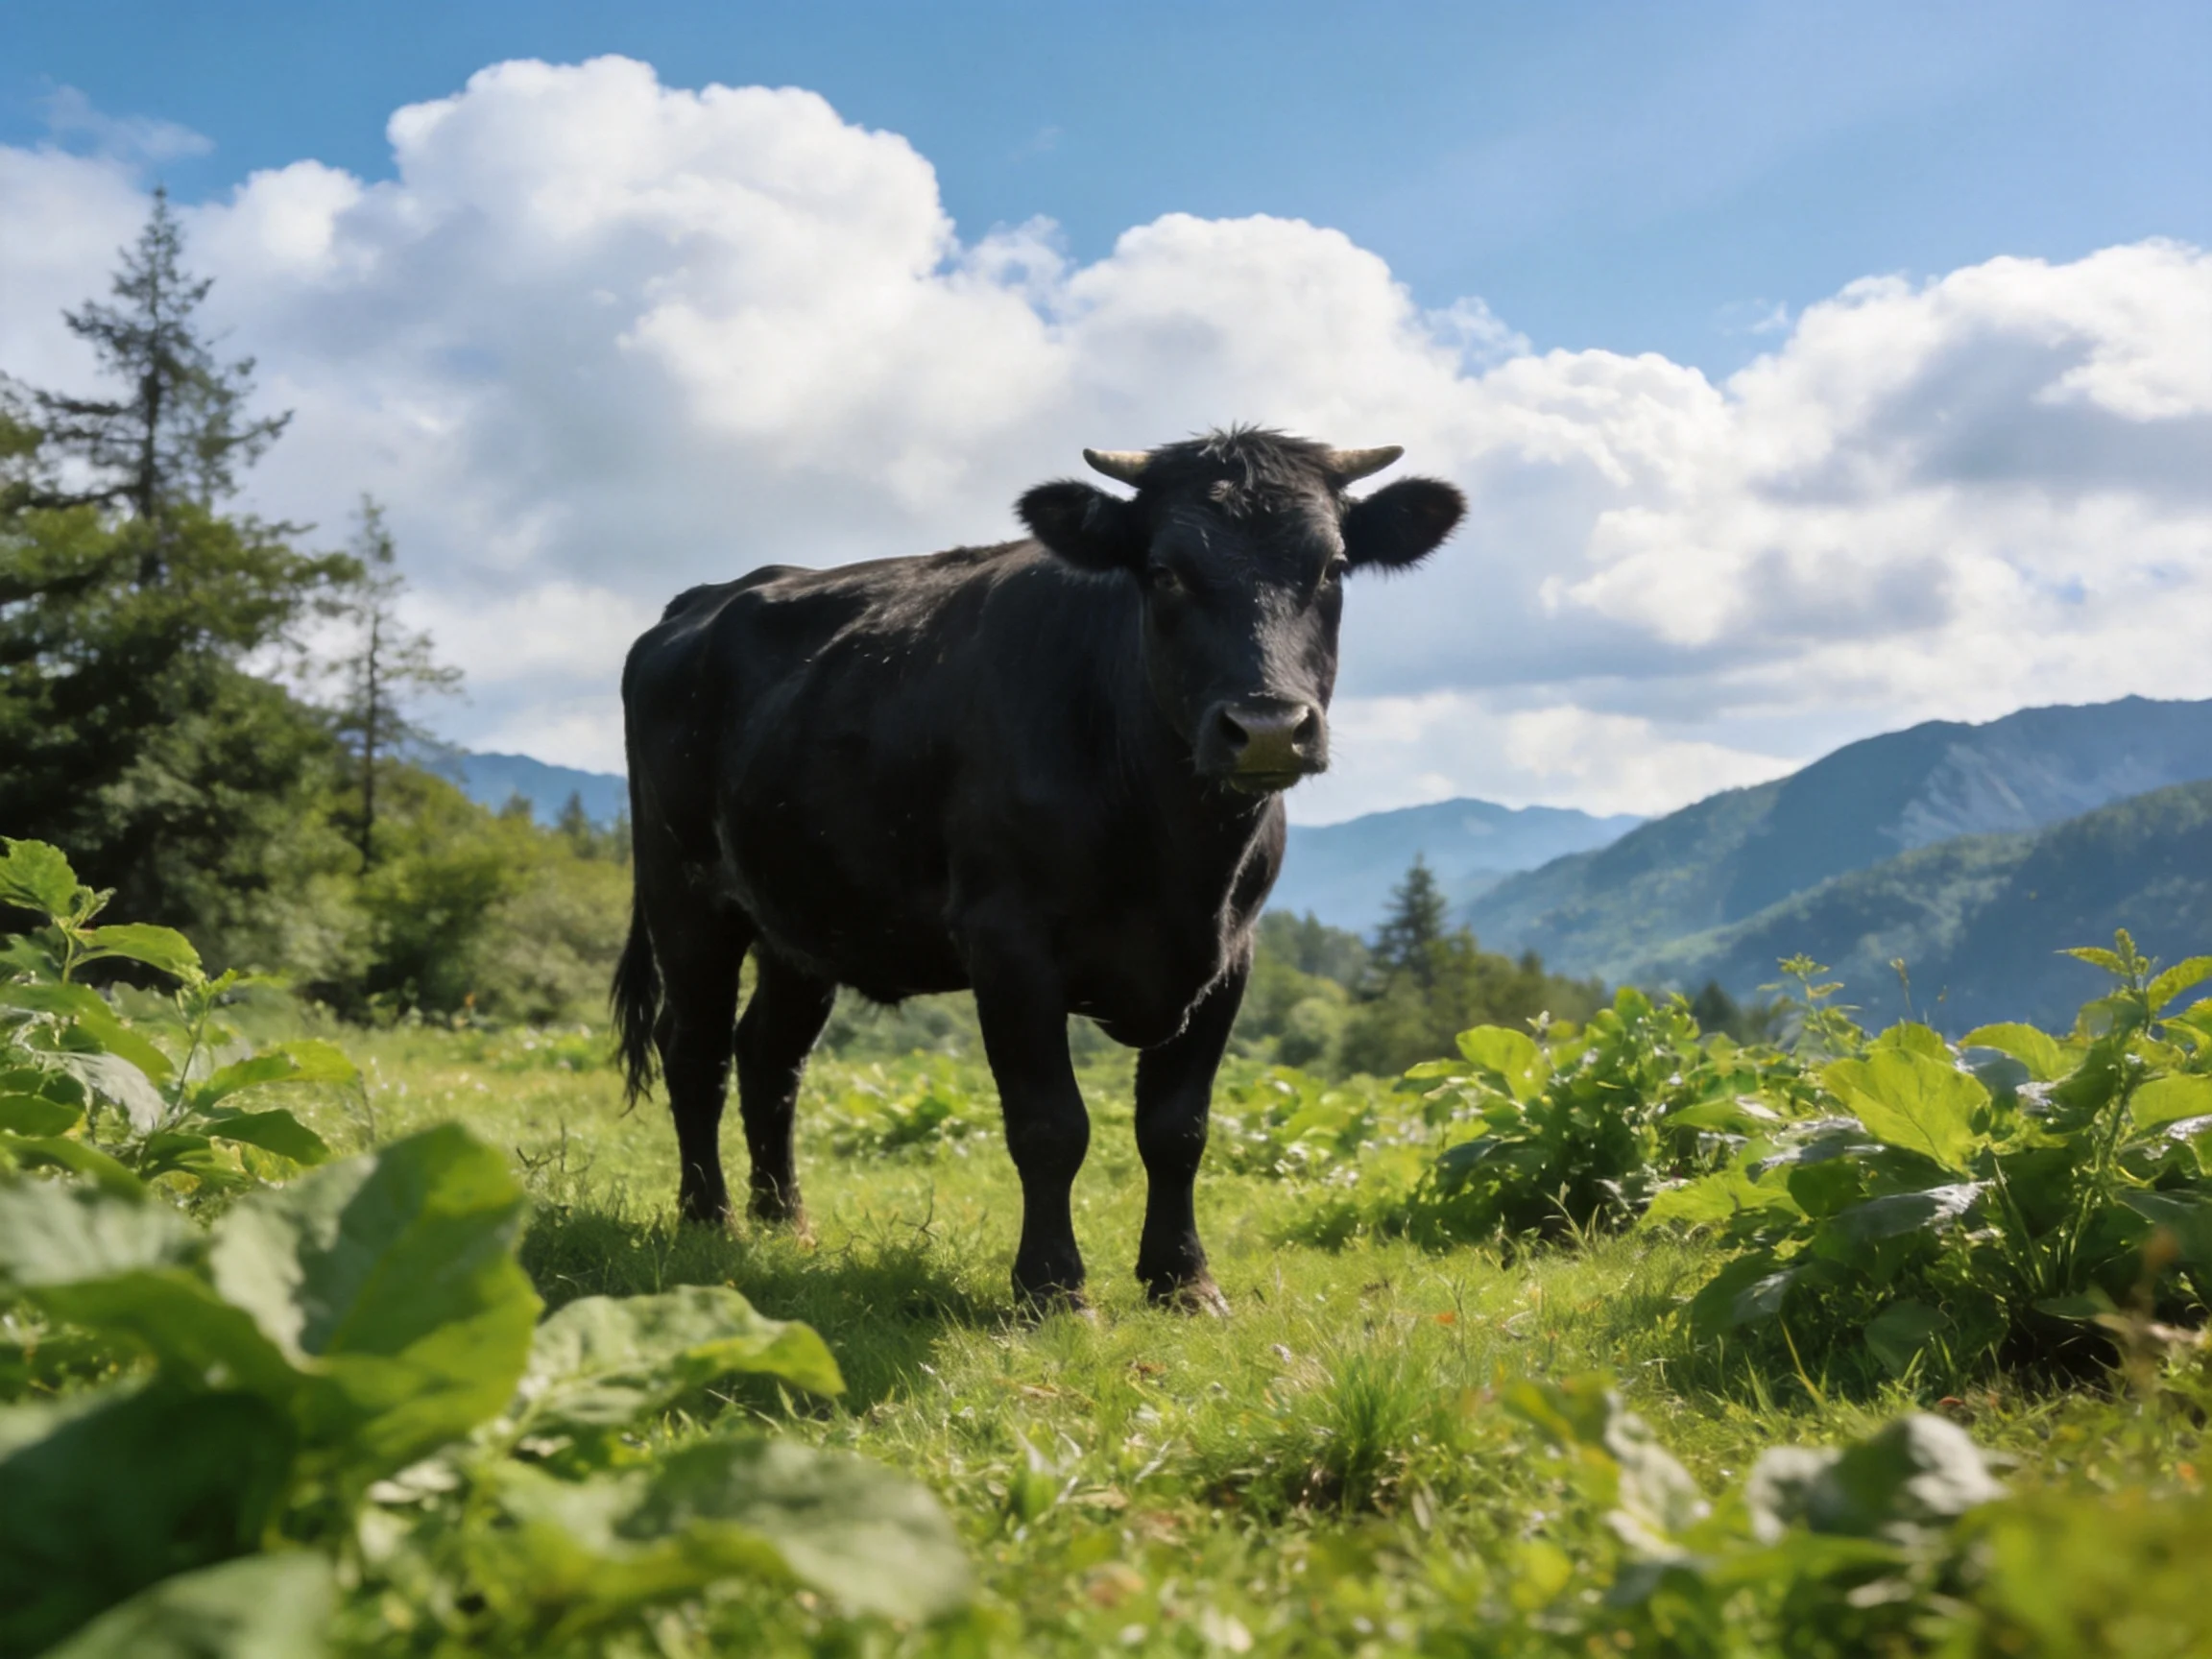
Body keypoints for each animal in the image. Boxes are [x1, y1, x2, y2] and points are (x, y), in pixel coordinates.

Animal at [613, 428, 1465, 1313]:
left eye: (1331, 567)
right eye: (1164, 571)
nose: (1266, 727)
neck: (1176, 850)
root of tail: (707, 598)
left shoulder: (1230, 953)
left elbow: (1177, 1128)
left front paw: (1183, 1280)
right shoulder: (1008, 942)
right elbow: (1050, 1125)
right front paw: (1052, 1289)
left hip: (803, 918)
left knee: (769, 1056)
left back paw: (784, 1222)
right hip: (685, 894)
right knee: (695, 1049)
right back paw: (708, 1218)